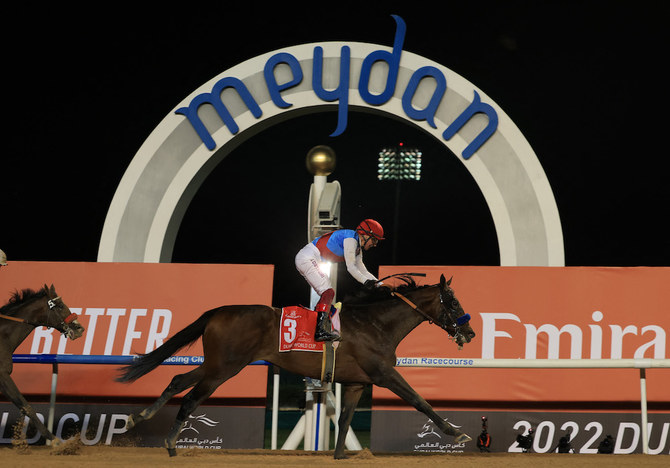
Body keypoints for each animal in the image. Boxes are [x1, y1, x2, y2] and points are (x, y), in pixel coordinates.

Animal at [0, 286, 85, 442]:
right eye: (61, 305)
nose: (79, 328)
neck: (2, 336)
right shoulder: (3, 375)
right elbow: (26, 405)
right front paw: (55, 440)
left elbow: (23, 405)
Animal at [118, 274, 476, 458]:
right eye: (453, 301)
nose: (470, 332)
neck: (376, 324)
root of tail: (218, 311)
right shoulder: (384, 374)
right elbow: (419, 401)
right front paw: (456, 433)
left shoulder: (357, 383)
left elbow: (344, 420)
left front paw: (339, 455)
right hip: (225, 367)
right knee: (192, 397)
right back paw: (170, 444)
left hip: (216, 363)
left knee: (179, 379)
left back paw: (139, 417)